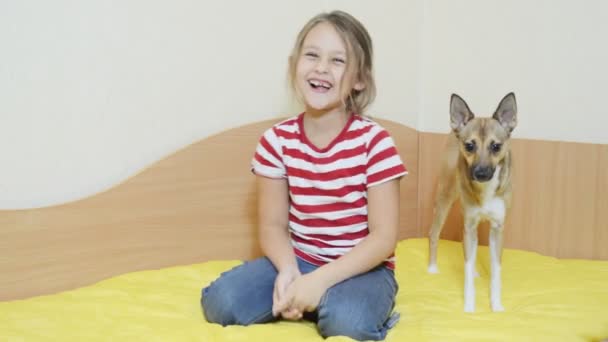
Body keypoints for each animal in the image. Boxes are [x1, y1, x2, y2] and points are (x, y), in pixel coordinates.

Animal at [428, 91, 516, 312]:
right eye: (469, 146)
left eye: (496, 146)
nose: (481, 173)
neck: (485, 190)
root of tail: (454, 131)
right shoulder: (469, 223)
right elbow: (466, 270)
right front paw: (469, 306)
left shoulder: (497, 229)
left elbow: (496, 271)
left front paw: (496, 305)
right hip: (445, 198)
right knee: (434, 233)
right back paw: (432, 268)